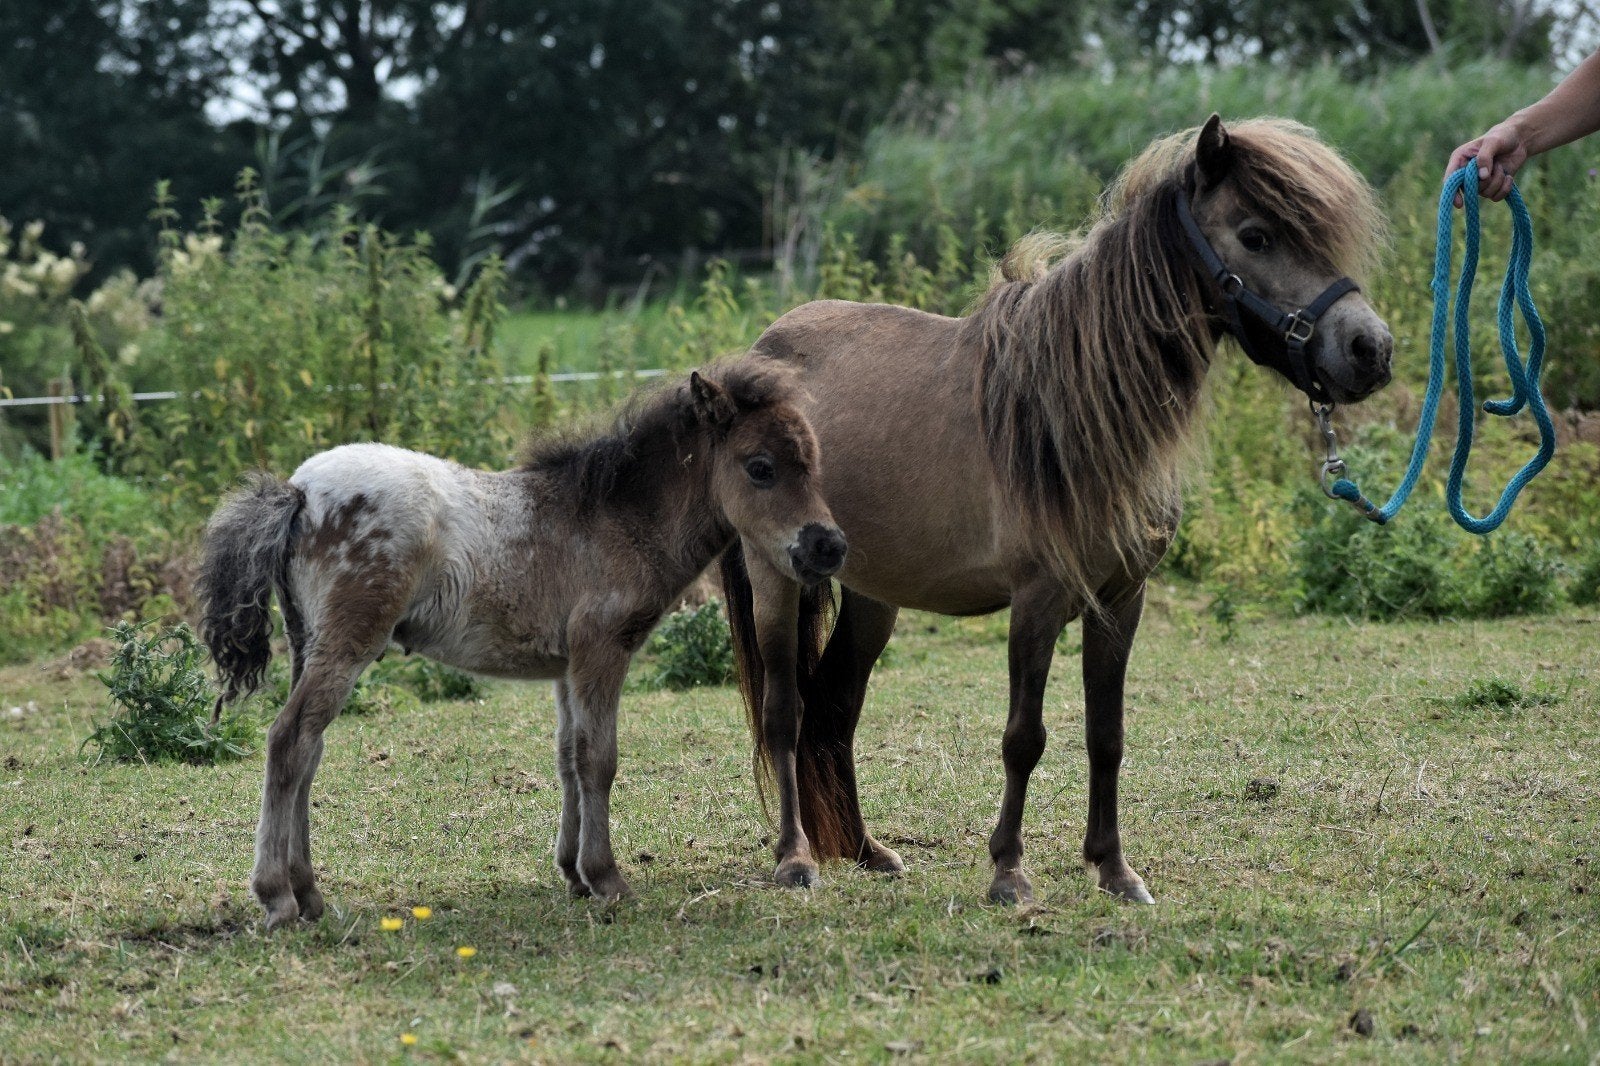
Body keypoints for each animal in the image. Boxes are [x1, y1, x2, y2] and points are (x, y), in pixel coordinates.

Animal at [197, 364, 847, 929]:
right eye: (759, 467)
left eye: (815, 464)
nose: (828, 547)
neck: (616, 519)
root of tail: (300, 490)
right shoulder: (602, 651)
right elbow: (599, 758)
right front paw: (607, 878)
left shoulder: (567, 666)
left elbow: (568, 758)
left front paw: (573, 873)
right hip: (348, 643)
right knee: (290, 739)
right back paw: (278, 897)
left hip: (310, 641)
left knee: (309, 751)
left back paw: (309, 892)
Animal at [719, 115, 1394, 904]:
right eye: (1255, 235)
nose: (1370, 348)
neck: (1074, 408)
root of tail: (761, 352)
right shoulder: (1037, 601)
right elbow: (1025, 737)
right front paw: (1009, 871)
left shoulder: (1122, 601)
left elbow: (1107, 736)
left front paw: (1115, 869)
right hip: (776, 581)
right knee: (786, 713)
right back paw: (795, 858)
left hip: (872, 594)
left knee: (835, 706)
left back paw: (864, 850)